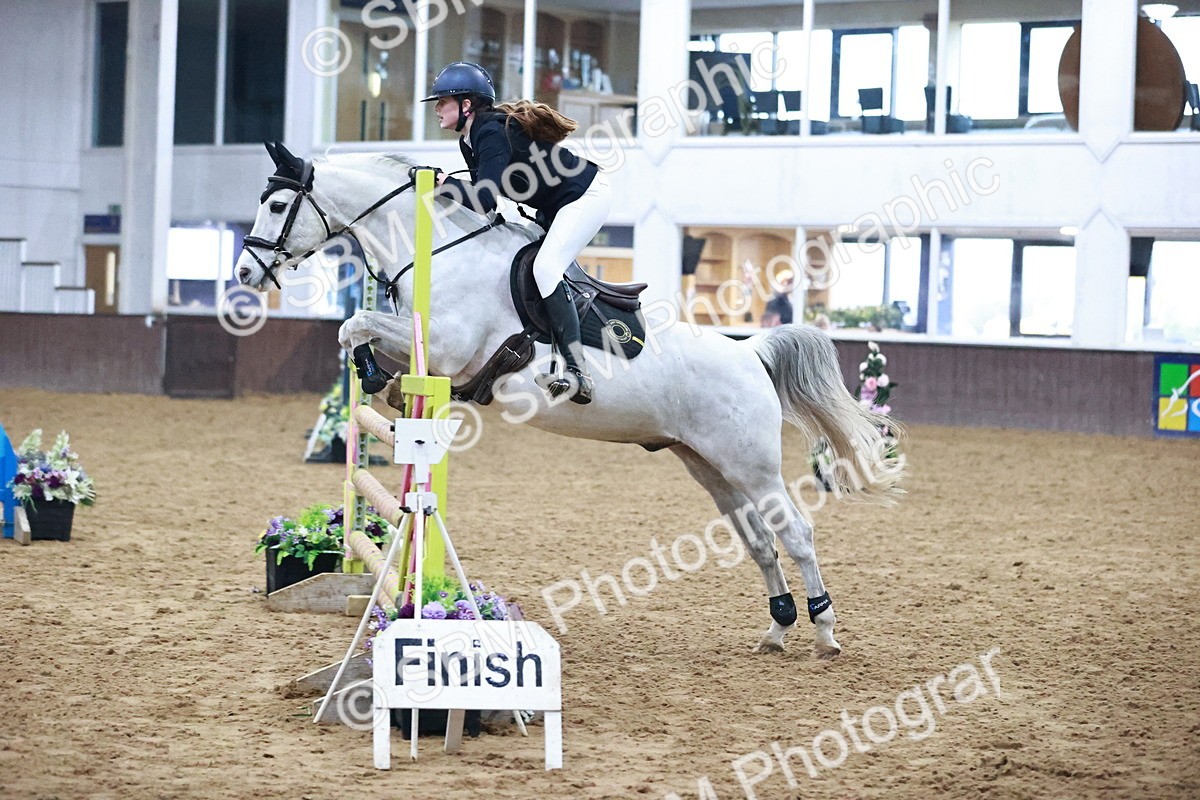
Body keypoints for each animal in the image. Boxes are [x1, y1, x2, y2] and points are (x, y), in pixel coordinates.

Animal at [235, 143, 903, 658]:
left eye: (277, 204)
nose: (244, 274)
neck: (445, 252)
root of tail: (749, 354)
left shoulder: (450, 348)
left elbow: (357, 324)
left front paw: (375, 373)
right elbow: (358, 332)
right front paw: (377, 380)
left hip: (753, 466)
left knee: (796, 533)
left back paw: (823, 630)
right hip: (710, 467)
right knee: (760, 541)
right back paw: (776, 629)